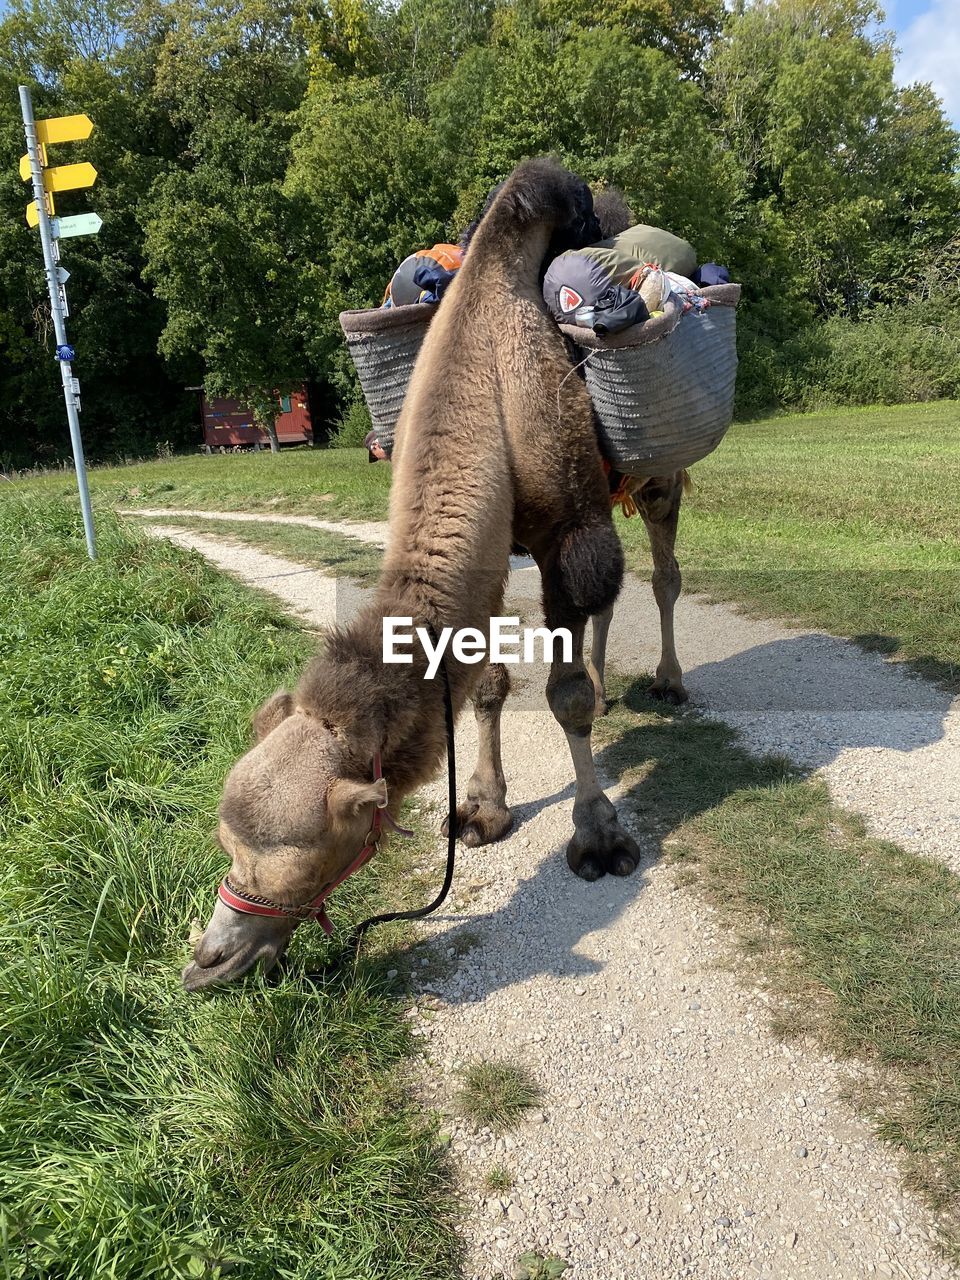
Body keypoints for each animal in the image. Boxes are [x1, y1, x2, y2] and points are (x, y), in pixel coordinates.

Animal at [181, 160, 686, 993]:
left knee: (663, 569)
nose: (209, 962)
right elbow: (485, 683)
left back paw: (671, 683)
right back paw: (611, 681)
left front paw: (598, 836)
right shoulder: (497, 556)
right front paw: (481, 809)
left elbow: (565, 696)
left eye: (308, 860)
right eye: (228, 846)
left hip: (656, 477)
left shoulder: (568, 527)